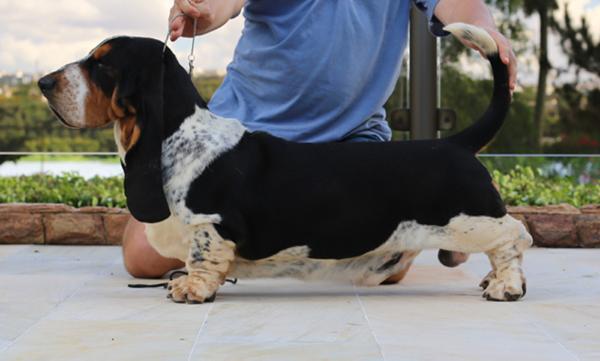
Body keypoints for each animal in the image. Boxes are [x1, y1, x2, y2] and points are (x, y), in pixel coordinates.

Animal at [39, 22, 532, 302]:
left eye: (103, 66)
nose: (43, 83)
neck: (180, 135)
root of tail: (456, 144)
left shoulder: (209, 225)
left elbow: (203, 259)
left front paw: (190, 290)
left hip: (469, 219)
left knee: (515, 237)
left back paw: (506, 287)